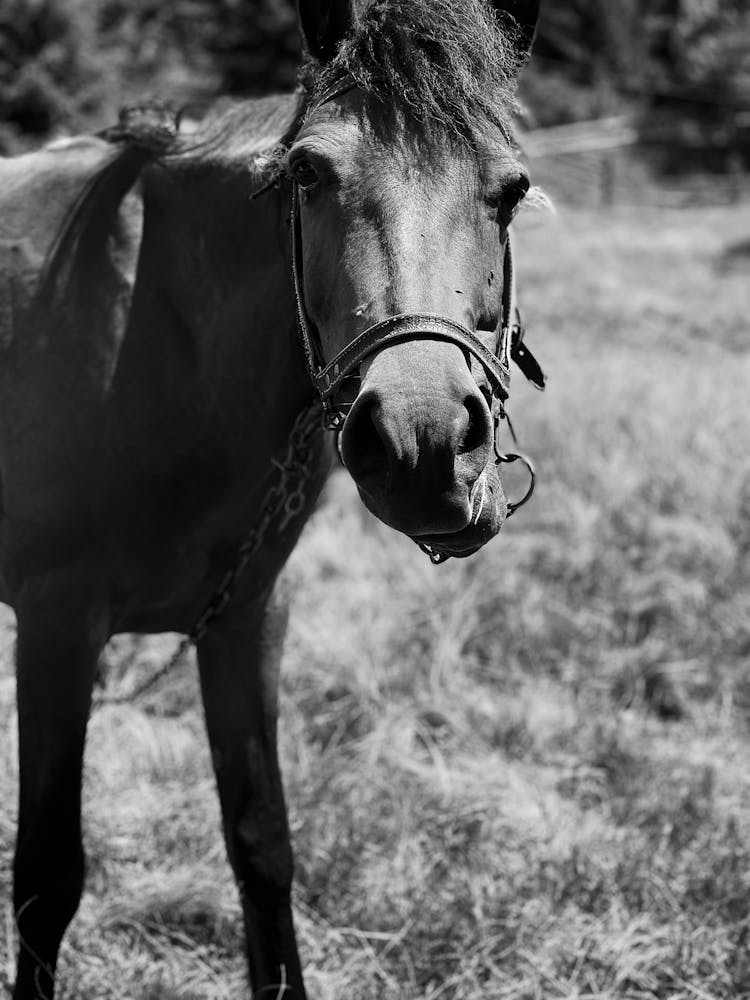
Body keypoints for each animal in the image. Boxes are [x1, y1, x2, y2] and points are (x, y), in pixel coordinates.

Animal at [0, 0, 544, 996]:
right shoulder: (57, 630)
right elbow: (46, 878)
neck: (163, 334)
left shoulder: (249, 619)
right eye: (308, 173)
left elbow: (262, 845)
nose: (421, 446)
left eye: (512, 189)